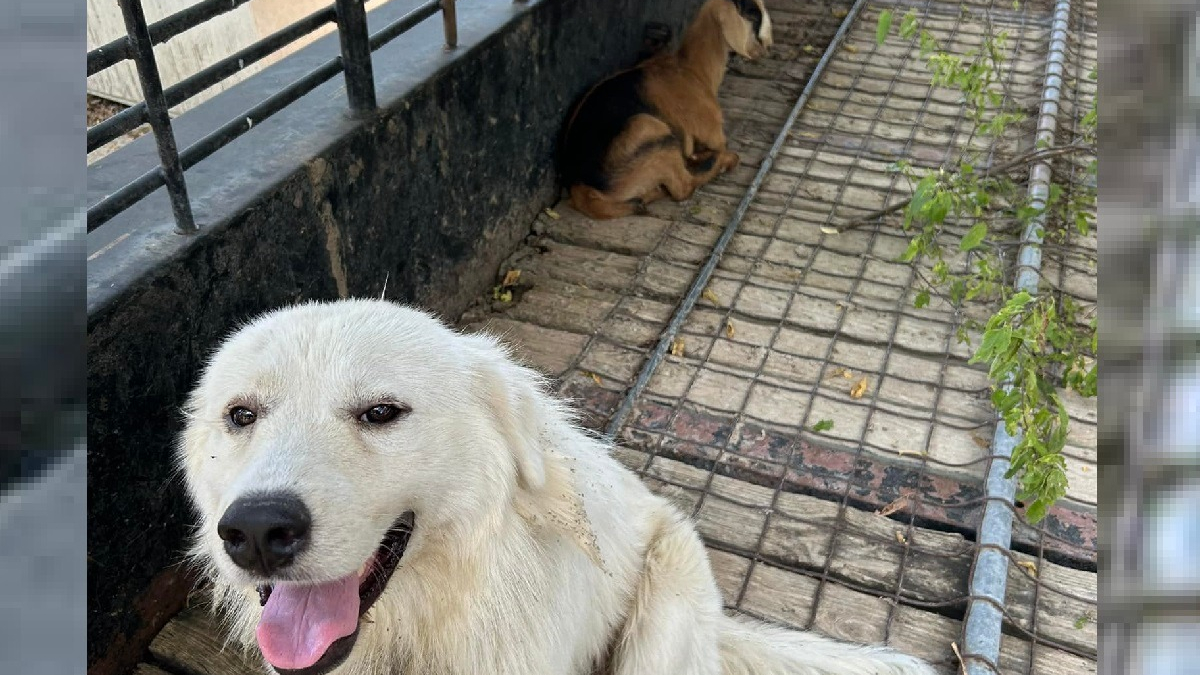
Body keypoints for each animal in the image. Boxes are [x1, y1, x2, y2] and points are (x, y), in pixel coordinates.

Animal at [556, 0, 772, 219]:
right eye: (754, 14)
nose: (767, 47)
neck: (690, 70)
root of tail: (581, 189)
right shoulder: (712, 132)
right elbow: (717, 147)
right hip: (651, 131)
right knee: (684, 187)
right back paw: (719, 161)